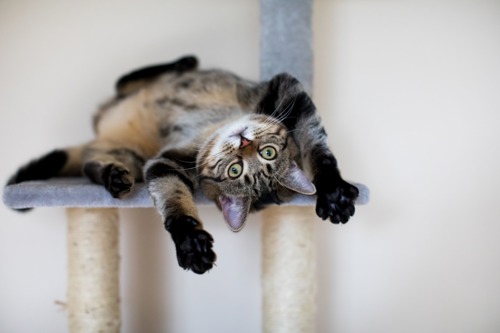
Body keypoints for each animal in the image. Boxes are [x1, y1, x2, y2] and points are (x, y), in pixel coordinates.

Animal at [7, 55, 360, 274]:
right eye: (268, 153)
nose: (243, 142)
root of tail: (102, 134)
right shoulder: (288, 91)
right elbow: (319, 149)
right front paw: (334, 191)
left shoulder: (163, 162)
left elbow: (173, 200)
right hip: (134, 93)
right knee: (130, 78)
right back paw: (183, 61)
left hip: (128, 155)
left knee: (91, 166)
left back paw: (113, 177)